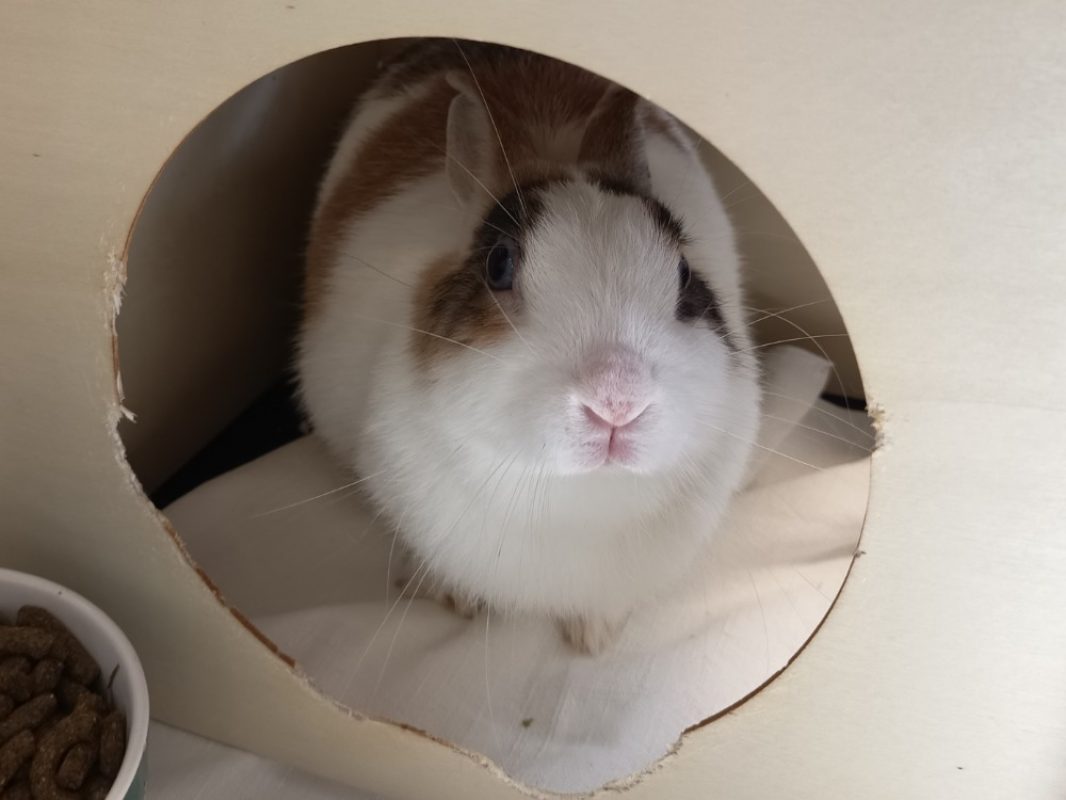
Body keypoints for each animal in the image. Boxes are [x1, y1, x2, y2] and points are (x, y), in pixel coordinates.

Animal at [297, 40, 761, 654]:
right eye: (499, 265)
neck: (576, 502)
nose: (616, 401)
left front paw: (594, 640)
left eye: (685, 273)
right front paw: (457, 601)